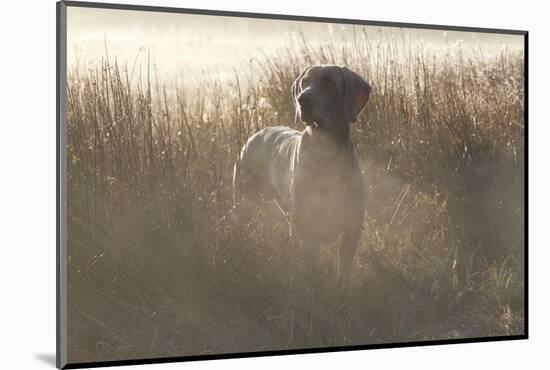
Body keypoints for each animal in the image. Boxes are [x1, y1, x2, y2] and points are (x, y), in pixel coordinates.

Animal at [231, 64, 374, 284]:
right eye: (305, 82)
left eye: (329, 81)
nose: (303, 99)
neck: (327, 154)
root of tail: (254, 136)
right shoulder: (309, 228)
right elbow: (312, 267)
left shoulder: (352, 226)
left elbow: (343, 270)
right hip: (244, 201)